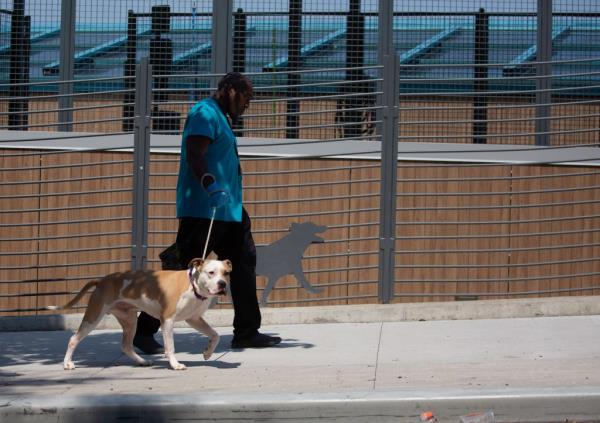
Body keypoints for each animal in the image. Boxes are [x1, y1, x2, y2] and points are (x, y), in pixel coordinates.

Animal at [54, 255, 232, 372]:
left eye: (226, 273)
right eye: (211, 272)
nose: (222, 284)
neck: (192, 286)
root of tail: (102, 280)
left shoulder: (194, 319)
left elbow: (215, 335)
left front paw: (208, 352)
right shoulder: (167, 320)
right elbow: (170, 346)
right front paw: (175, 364)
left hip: (130, 321)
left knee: (126, 346)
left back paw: (141, 361)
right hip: (93, 317)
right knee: (73, 339)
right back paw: (67, 363)